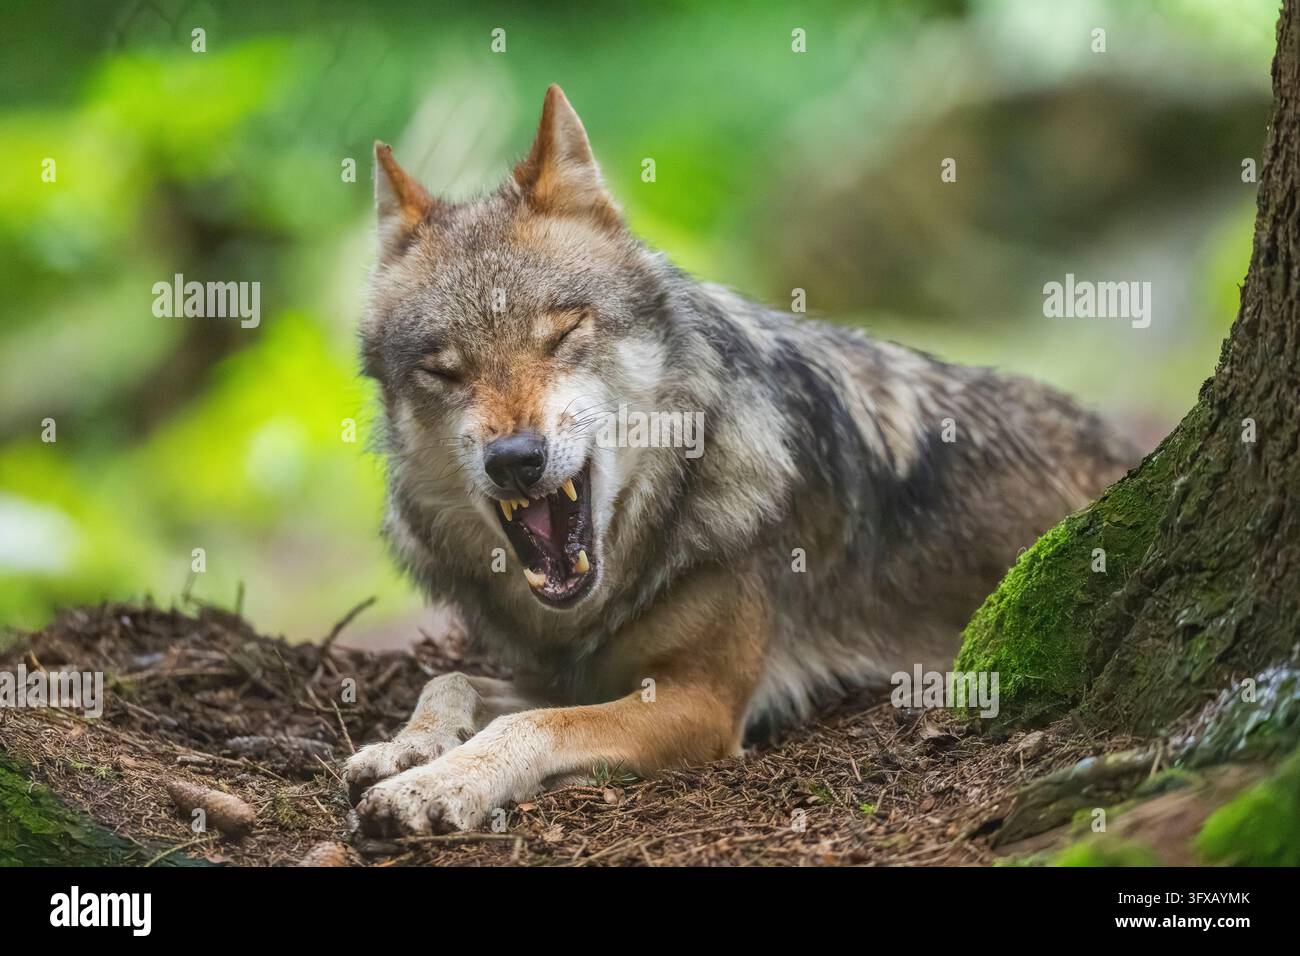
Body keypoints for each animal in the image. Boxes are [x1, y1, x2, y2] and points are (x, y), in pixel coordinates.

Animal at [345, 85, 1134, 835]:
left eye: (564, 332)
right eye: (443, 372)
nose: (514, 459)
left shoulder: (702, 701)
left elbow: (526, 724)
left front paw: (434, 786)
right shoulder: (580, 676)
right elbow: (450, 682)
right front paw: (407, 748)